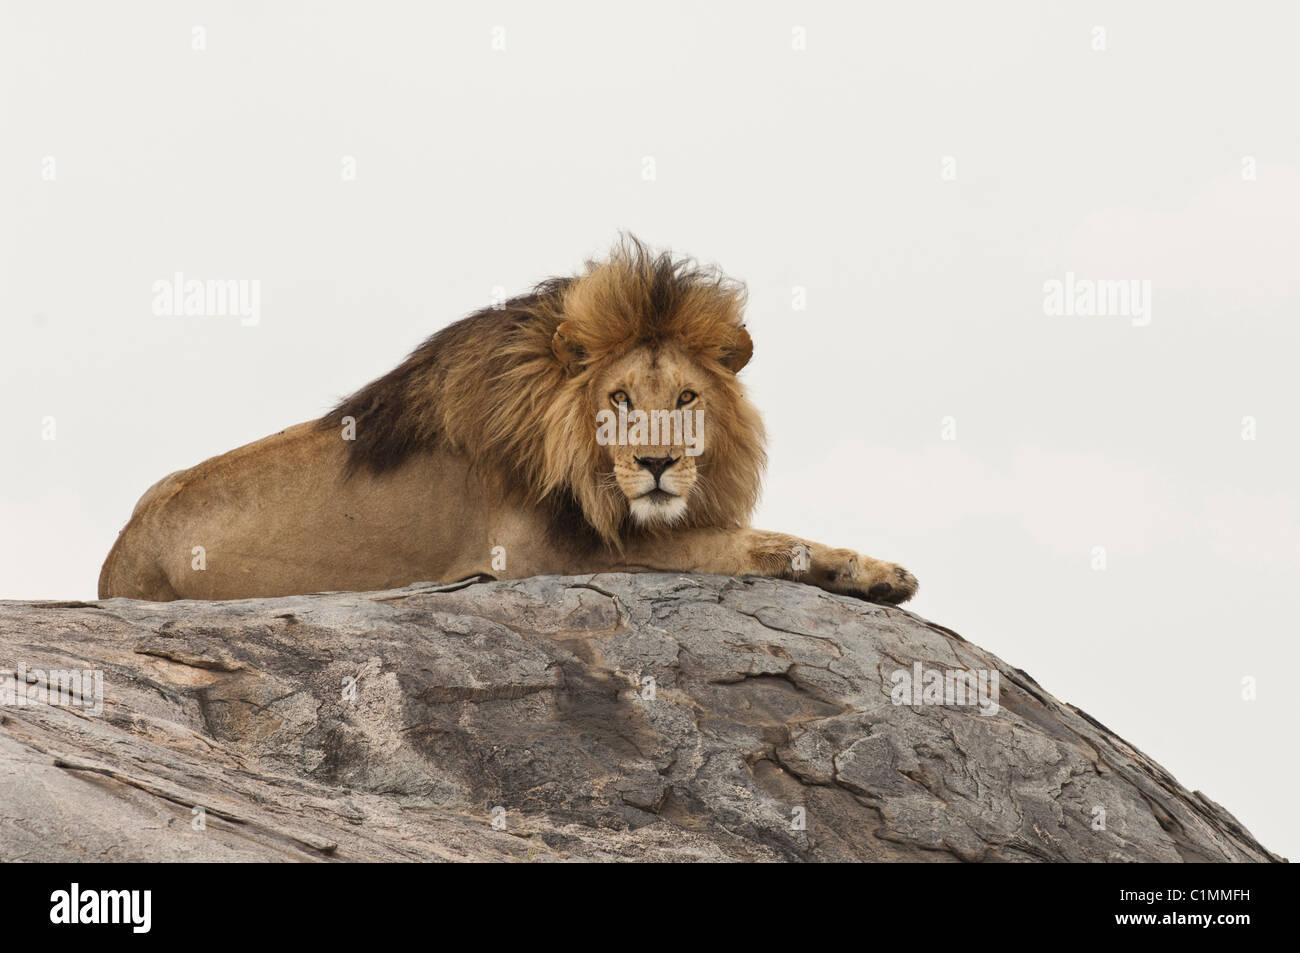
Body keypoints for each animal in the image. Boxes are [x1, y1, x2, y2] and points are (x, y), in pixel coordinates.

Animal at [98, 238, 918, 604]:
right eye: (620, 399)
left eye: (687, 399)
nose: (656, 465)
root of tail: (116, 555)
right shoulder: (537, 553)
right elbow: (736, 544)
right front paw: (872, 571)